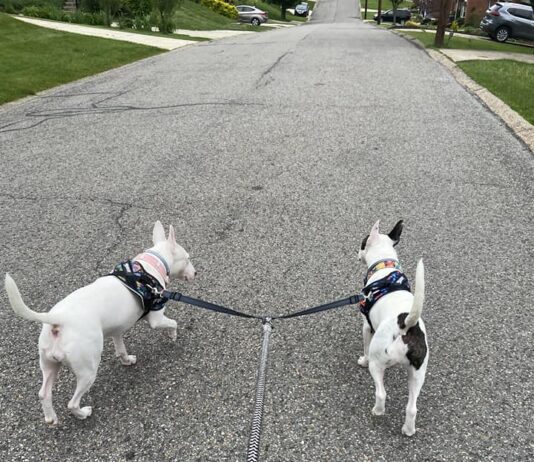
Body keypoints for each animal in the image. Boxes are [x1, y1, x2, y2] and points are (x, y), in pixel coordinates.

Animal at [4, 222, 197, 424]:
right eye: (188, 258)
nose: (196, 272)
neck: (149, 267)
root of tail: (58, 320)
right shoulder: (156, 318)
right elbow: (172, 323)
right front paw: (173, 335)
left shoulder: (117, 329)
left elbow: (120, 349)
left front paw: (127, 360)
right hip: (87, 369)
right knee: (72, 403)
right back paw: (83, 413)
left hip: (49, 363)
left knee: (43, 393)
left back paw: (51, 418)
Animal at [358, 220, 430, 436]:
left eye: (362, 242)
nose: (357, 251)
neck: (384, 266)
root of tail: (406, 325)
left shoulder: (366, 326)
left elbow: (365, 347)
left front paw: (362, 360)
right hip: (418, 373)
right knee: (412, 408)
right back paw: (408, 430)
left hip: (377, 364)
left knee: (381, 393)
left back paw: (377, 411)